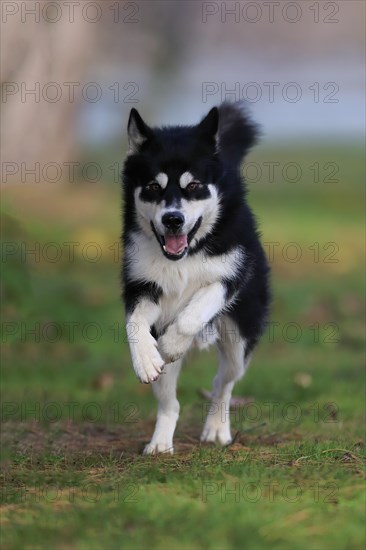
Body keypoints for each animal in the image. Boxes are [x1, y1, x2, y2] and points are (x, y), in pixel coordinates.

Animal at [122, 103, 268, 458]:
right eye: (153, 187)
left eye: (193, 186)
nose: (172, 220)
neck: (185, 255)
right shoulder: (140, 285)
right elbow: (136, 323)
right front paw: (145, 357)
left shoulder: (228, 277)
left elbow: (192, 313)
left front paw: (173, 343)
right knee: (169, 402)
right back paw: (160, 441)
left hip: (238, 342)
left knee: (222, 384)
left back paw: (216, 428)